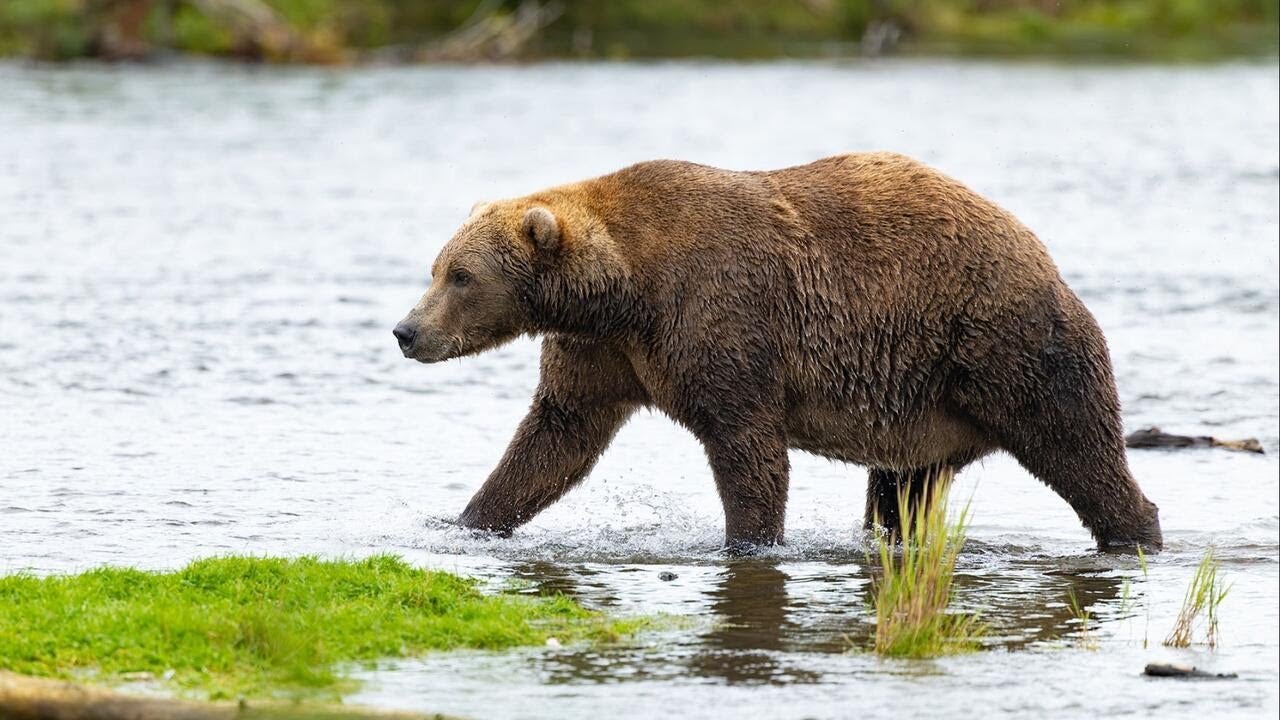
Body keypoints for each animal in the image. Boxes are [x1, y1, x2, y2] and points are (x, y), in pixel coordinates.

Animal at [393, 152, 1163, 552]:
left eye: (461, 276)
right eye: (437, 268)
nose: (406, 331)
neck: (624, 288)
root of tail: (1042, 255)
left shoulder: (720, 317)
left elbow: (747, 445)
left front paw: (748, 540)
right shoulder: (602, 353)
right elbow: (554, 438)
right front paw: (465, 521)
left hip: (1002, 345)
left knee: (1075, 442)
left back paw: (1134, 532)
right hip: (919, 406)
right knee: (902, 490)